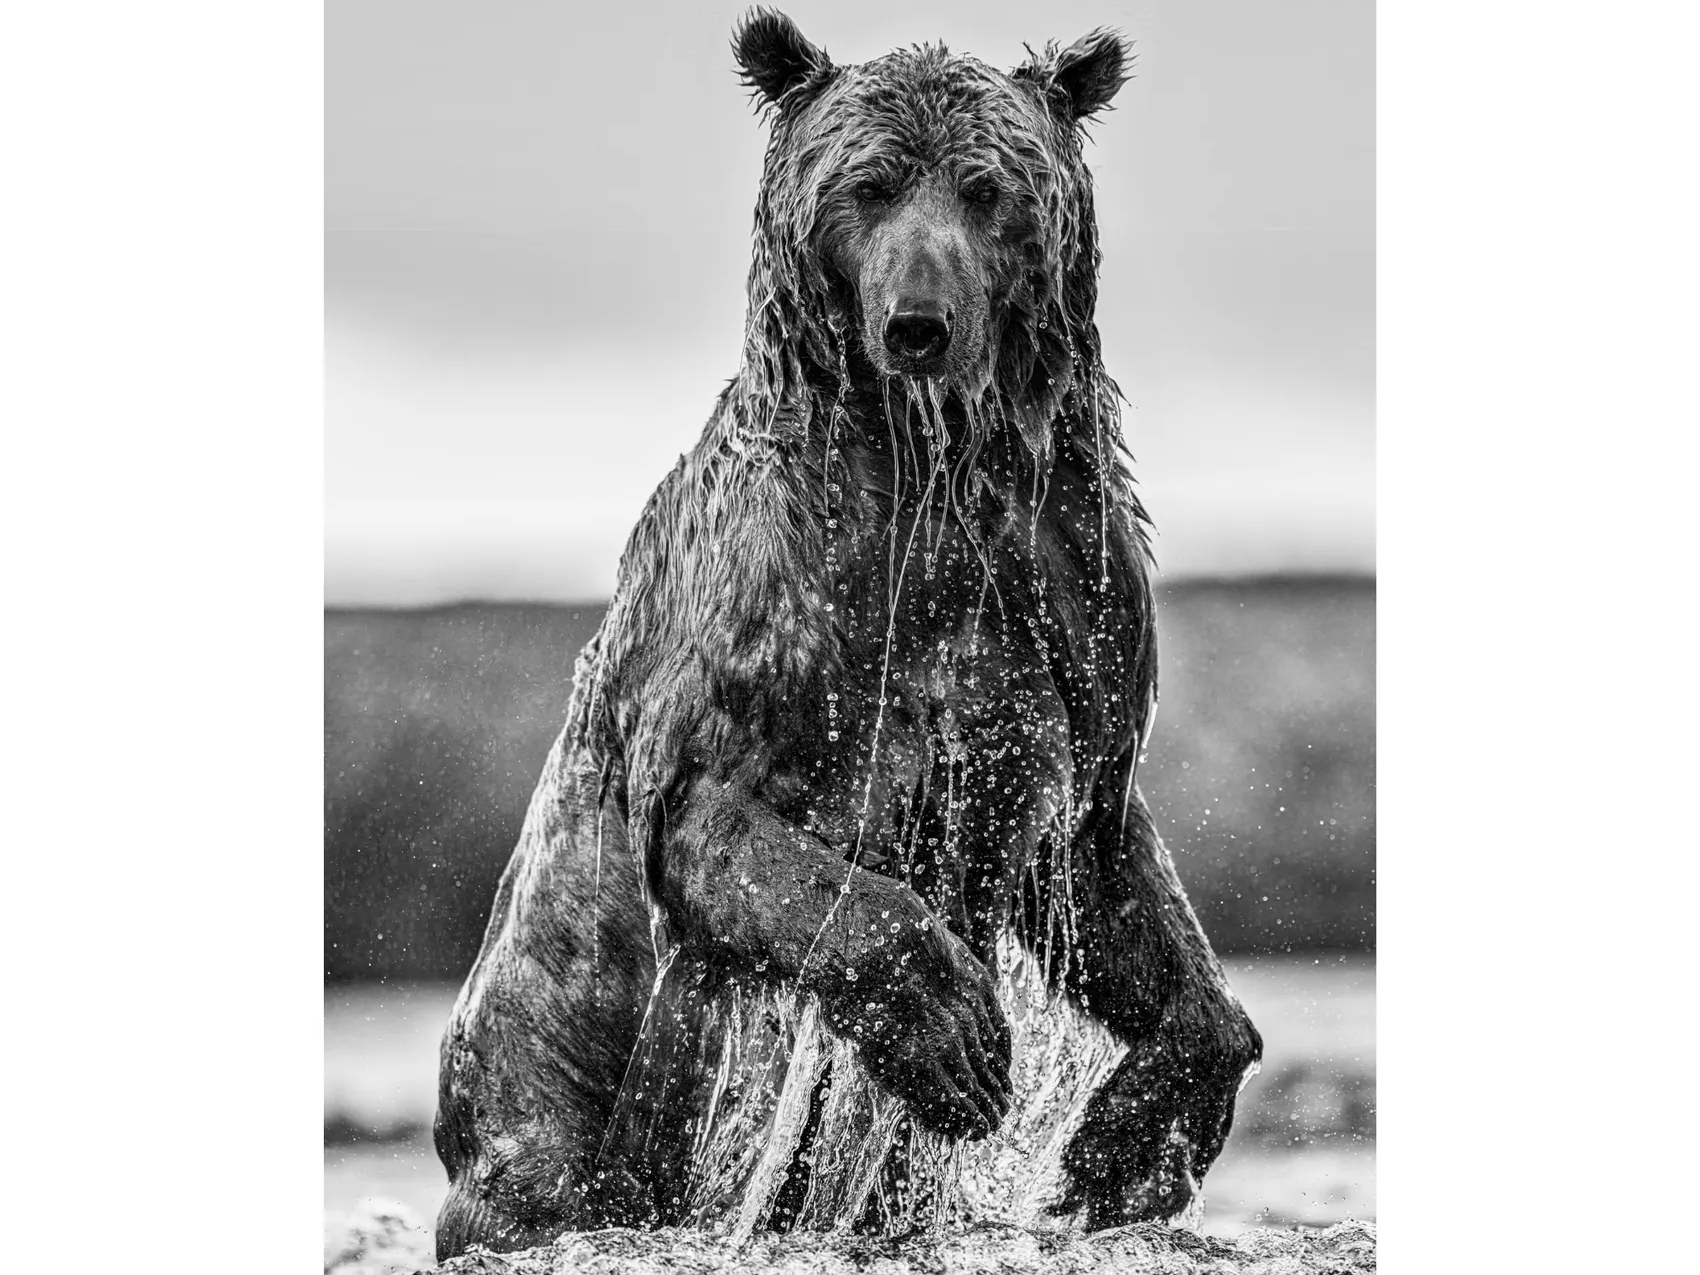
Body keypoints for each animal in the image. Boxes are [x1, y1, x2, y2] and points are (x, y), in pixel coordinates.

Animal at [432, 11, 1262, 1260]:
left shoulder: (1069, 625)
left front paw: (1123, 1149)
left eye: (985, 188)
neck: (934, 473)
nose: (916, 323)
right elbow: (728, 827)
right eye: (864, 186)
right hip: (538, 1086)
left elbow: (1111, 883)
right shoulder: (775, 623)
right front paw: (958, 1036)